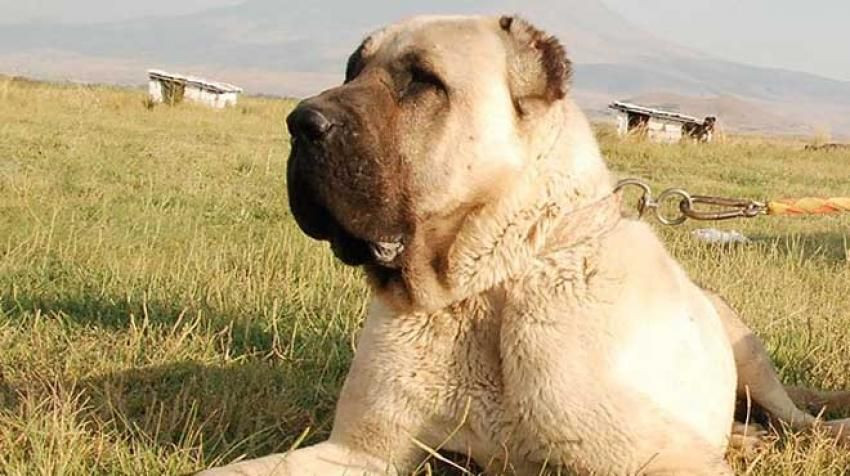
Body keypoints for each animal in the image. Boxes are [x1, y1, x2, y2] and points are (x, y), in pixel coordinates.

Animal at [200, 13, 848, 474]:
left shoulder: (663, 460)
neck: (483, 287)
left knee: (791, 416)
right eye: (351, 68)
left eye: (421, 81)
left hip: (747, 351)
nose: (299, 122)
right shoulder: (358, 452)